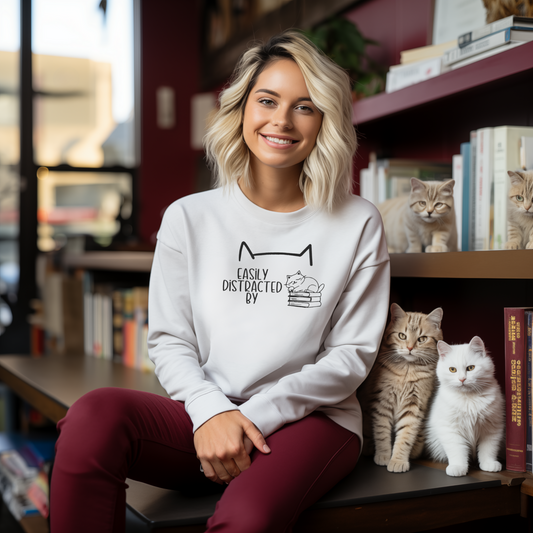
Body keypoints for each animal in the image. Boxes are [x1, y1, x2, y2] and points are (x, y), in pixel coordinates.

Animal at [360, 306, 442, 472]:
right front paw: (384, 456)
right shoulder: (382, 403)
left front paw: (398, 460)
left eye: (422, 339)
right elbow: (382, 433)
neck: (407, 371)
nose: (410, 348)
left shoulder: (414, 406)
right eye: (402, 336)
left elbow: (405, 436)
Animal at [424, 334, 502, 476]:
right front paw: (458, 468)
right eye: (452, 369)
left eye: (470, 368)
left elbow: (488, 450)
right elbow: (457, 451)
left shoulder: (492, 428)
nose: (462, 379)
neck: (468, 399)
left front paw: (489, 464)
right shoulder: (450, 429)